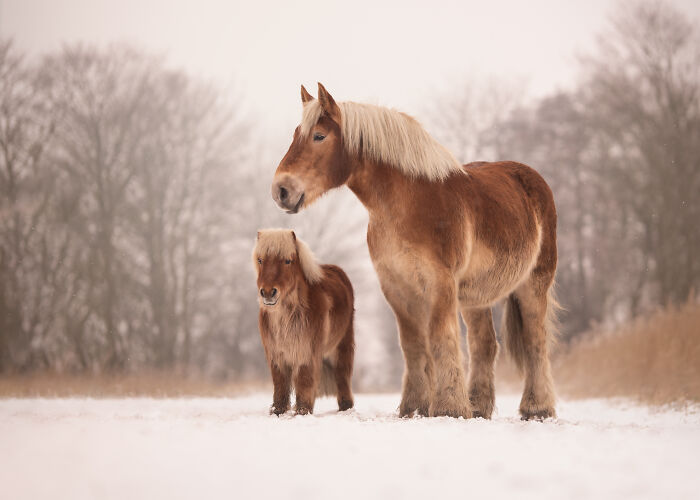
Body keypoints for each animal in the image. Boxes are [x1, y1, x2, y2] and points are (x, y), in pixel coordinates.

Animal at [254, 229, 355, 415]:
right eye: (260, 260)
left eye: (287, 261)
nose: (268, 292)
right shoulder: (276, 355)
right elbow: (280, 384)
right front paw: (278, 411)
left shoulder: (306, 351)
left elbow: (304, 379)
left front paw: (302, 411)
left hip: (342, 345)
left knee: (342, 376)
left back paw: (346, 408)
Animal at [270, 83, 559, 420]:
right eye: (295, 134)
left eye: (319, 136)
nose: (281, 191)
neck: (408, 205)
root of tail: (533, 179)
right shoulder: (397, 287)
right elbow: (412, 345)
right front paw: (414, 407)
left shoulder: (440, 283)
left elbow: (440, 339)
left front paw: (448, 407)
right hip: (476, 296)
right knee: (485, 344)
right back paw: (478, 408)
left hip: (534, 283)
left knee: (535, 341)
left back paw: (537, 408)